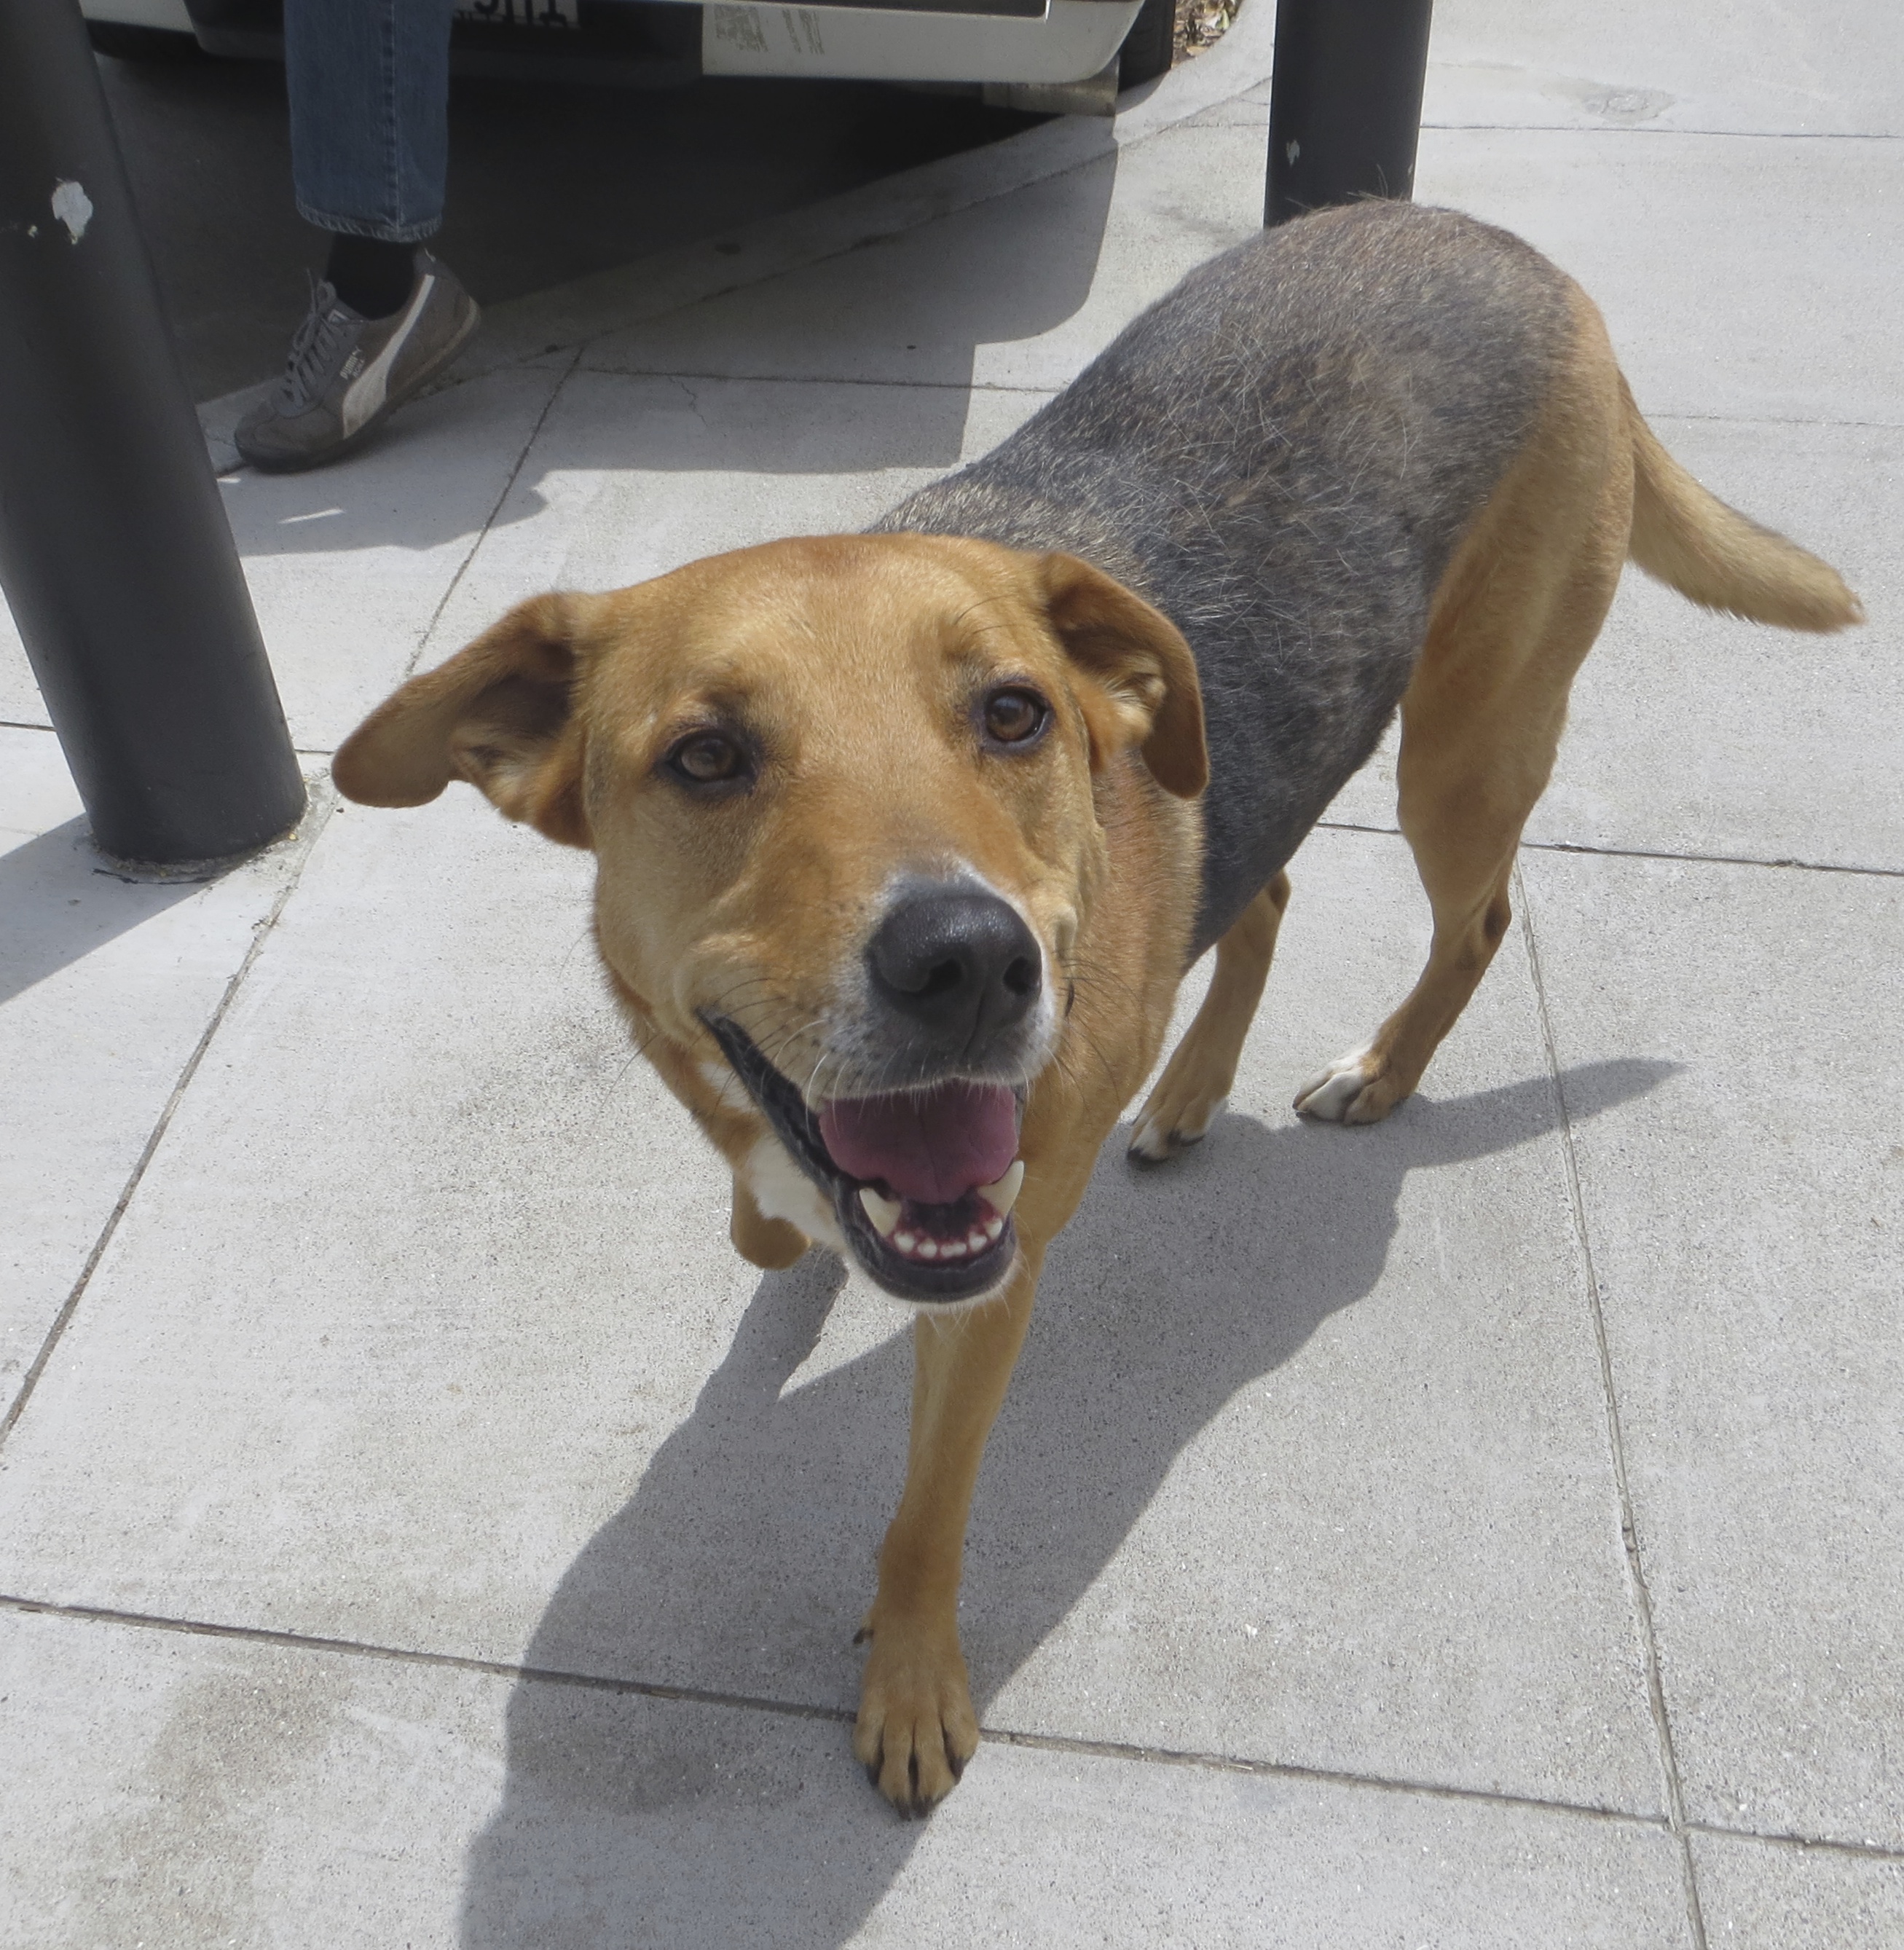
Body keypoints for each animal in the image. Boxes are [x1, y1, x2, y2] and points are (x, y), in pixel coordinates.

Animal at [331, 205, 1857, 1817]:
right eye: (703, 756)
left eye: (1013, 713)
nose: (966, 962)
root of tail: (1509, 246)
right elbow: (765, 1220)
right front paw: (777, 1235)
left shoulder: (988, 1282)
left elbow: (924, 1515)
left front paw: (911, 1682)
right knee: (1262, 893)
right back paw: (1185, 1089)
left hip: (1460, 746)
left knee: (1478, 917)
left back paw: (1381, 1070)